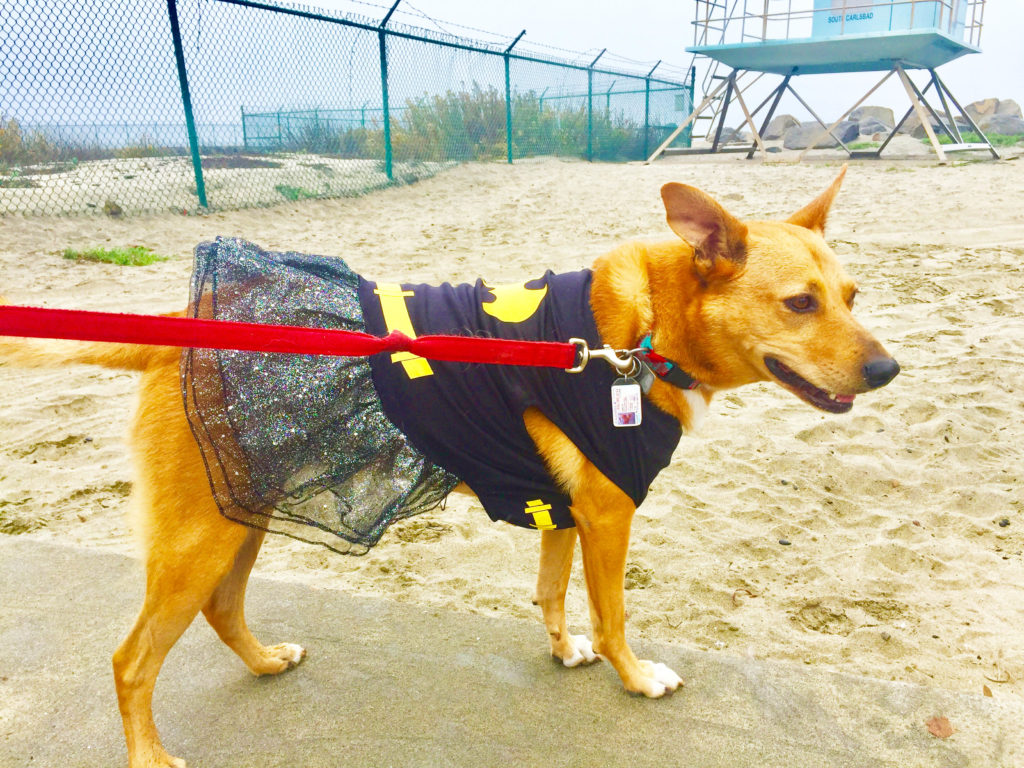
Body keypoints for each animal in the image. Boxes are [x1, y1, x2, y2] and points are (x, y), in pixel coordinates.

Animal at [2, 169, 897, 768]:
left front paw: (563, 651)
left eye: (852, 295)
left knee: (223, 611)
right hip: (198, 538)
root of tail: (175, 327)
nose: (889, 370)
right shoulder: (608, 517)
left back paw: (262, 663)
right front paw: (636, 679)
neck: (643, 336)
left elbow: (551, 594)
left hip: (240, 511)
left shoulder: (562, 510)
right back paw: (151, 754)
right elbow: (613, 617)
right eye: (800, 303)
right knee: (132, 662)